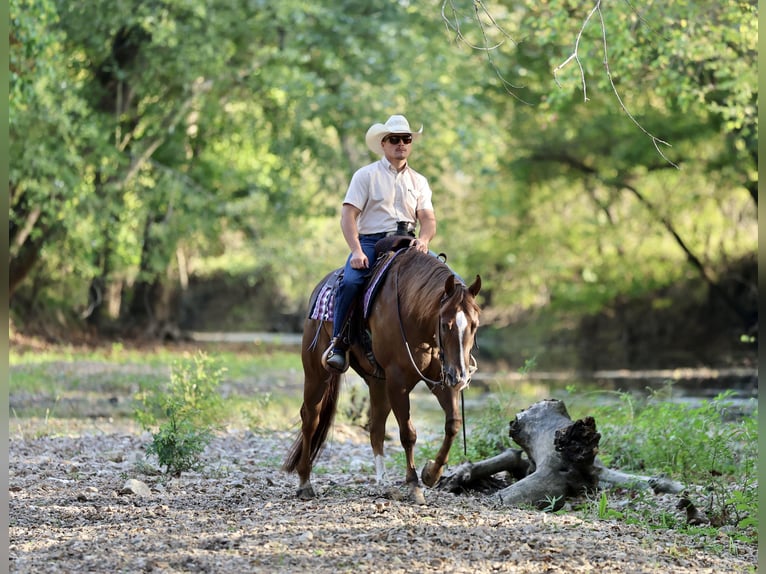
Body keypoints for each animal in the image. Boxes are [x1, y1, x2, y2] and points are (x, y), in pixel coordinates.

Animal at [282, 243, 481, 504]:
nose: (460, 376)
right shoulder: (398, 381)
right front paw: (414, 485)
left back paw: (384, 484)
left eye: (474, 325)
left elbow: (453, 424)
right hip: (317, 372)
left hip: (378, 383)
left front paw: (431, 473)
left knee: (375, 428)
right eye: (445, 324)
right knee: (310, 419)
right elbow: (408, 434)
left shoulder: (439, 378)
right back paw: (305, 482)